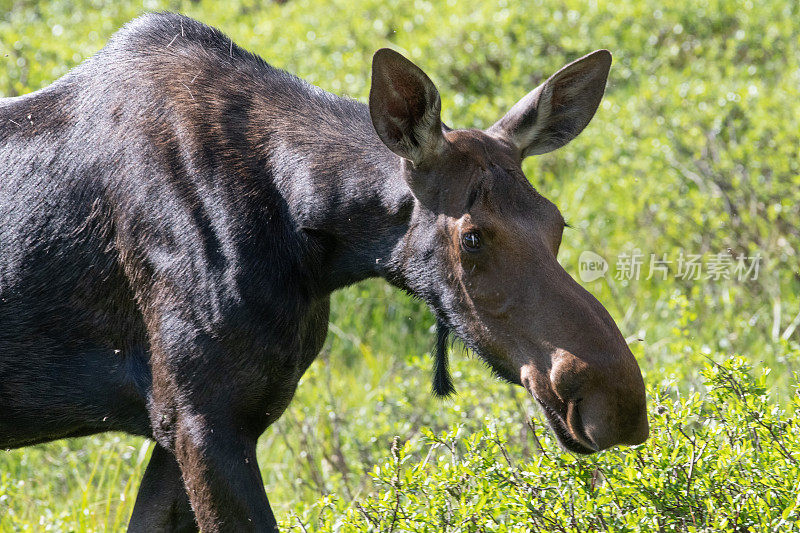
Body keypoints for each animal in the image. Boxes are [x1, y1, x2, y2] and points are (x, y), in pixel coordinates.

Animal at [0, 14, 648, 528]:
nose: (618, 400)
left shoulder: (187, 424)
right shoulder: (201, 416)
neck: (306, 245)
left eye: (557, 222)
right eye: (472, 237)